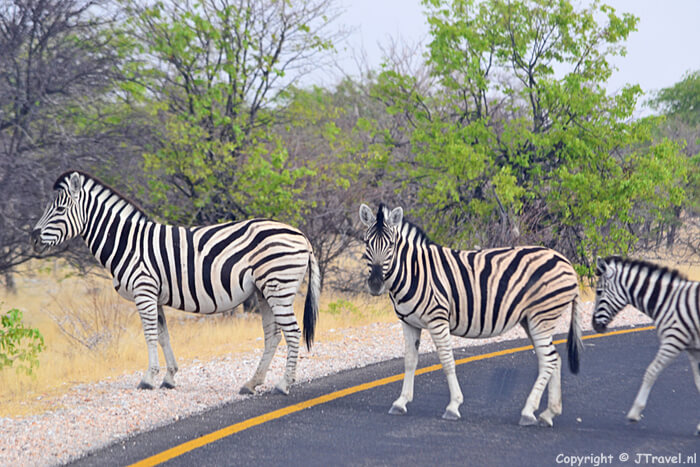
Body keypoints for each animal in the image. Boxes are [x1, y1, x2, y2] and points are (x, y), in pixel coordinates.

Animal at [32, 171, 320, 395]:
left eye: (59, 209)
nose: (33, 237)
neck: (128, 243)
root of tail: (301, 236)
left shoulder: (144, 291)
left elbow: (149, 335)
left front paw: (148, 378)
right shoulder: (154, 295)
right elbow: (162, 335)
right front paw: (169, 377)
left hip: (278, 287)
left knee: (292, 333)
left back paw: (283, 385)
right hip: (264, 291)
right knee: (273, 335)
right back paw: (252, 383)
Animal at [359, 203, 583, 426]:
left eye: (391, 245)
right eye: (367, 243)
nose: (376, 284)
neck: (415, 272)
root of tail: (566, 262)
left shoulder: (438, 319)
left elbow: (447, 360)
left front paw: (453, 406)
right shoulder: (408, 323)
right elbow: (410, 361)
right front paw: (401, 402)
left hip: (541, 316)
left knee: (549, 360)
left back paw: (529, 412)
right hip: (532, 319)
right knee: (554, 359)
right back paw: (549, 413)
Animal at [593, 256, 700, 435]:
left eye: (599, 292)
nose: (594, 326)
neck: (666, 300)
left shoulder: (673, 340)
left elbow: (651, 371)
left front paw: (634, 413)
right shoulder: (692, 348)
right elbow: (699, 382)